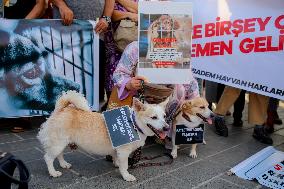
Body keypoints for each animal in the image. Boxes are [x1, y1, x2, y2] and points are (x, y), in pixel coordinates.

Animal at [36, 91, 168, 182]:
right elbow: (124, 165)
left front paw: (117, 164)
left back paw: (64, 164)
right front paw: (126, 175)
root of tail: (60, 110)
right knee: (48, 158)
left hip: (61, 143)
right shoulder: (124, 151)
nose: (167, 128)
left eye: (165, 116)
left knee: (59, 154)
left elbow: (117, 159)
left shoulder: (118, 150)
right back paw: (53, 172)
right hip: (58, 144)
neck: (133, 123)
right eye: (154, 117)